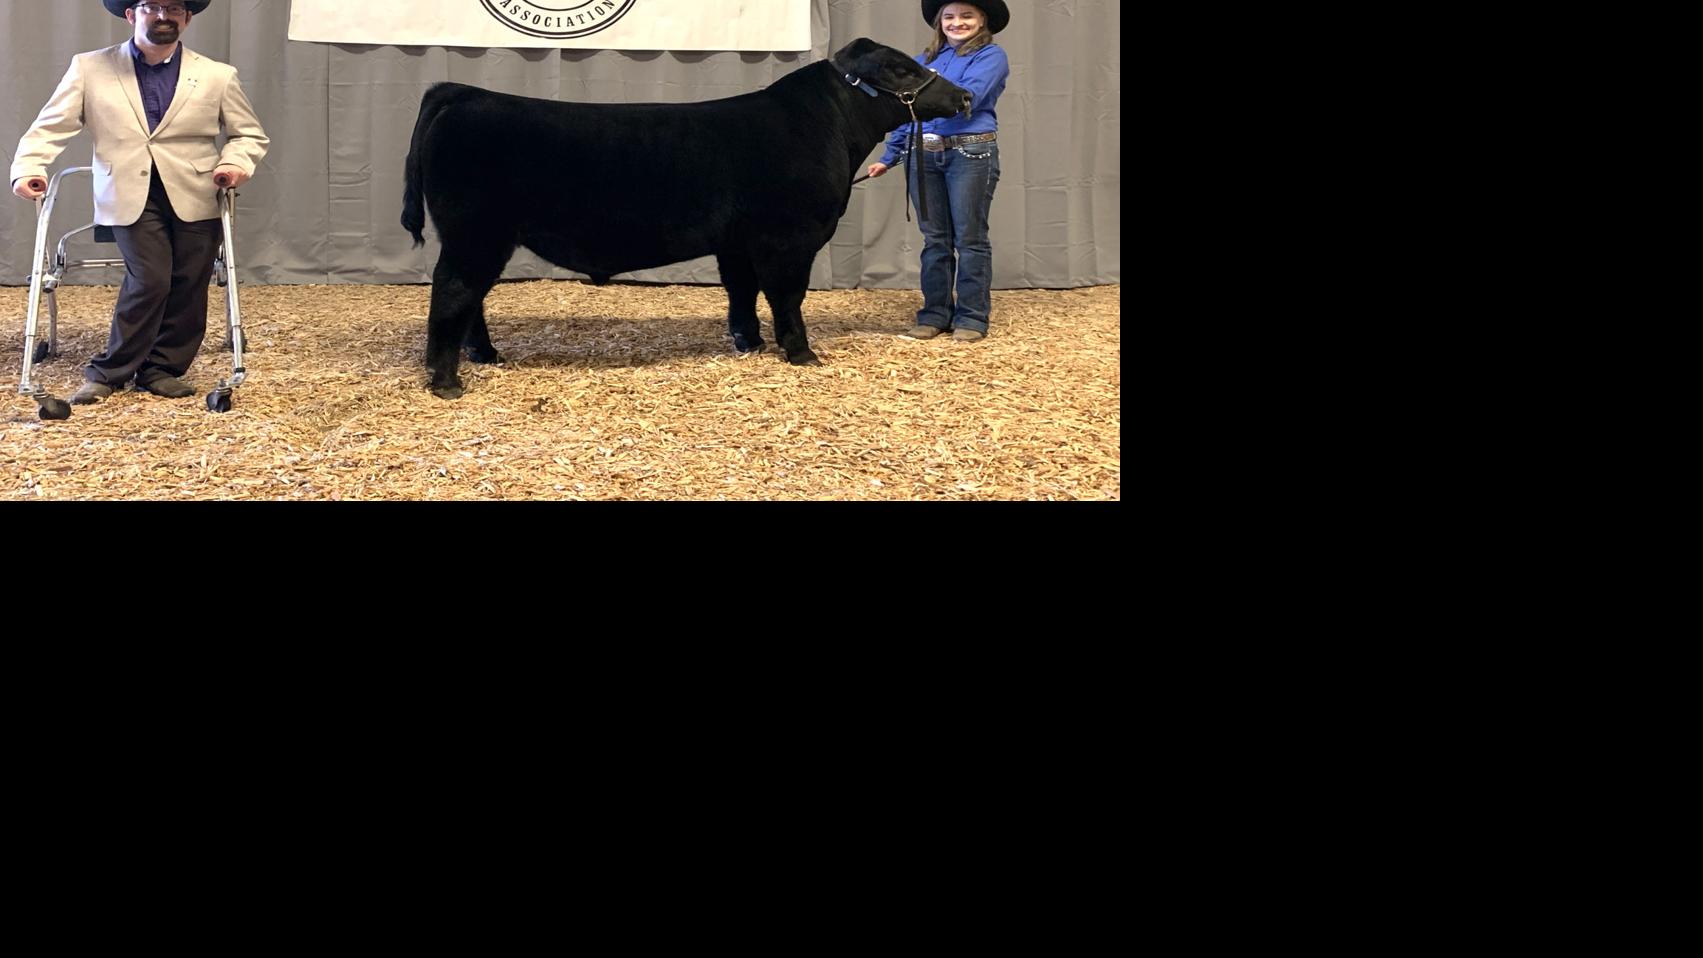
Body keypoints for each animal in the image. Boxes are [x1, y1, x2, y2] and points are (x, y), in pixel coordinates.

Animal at [401, 38, 972, 399]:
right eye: (901, 69)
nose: (965, 95)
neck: (826, 126)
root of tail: (463, 93)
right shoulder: (791, 237)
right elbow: (786, 296)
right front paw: (801, 352)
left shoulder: (739, 240)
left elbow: (741, 290)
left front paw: (749, 342)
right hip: (476, 234)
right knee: (453, 292)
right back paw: (447, 382)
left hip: (480, 237)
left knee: (470, 298)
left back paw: (485, 355)